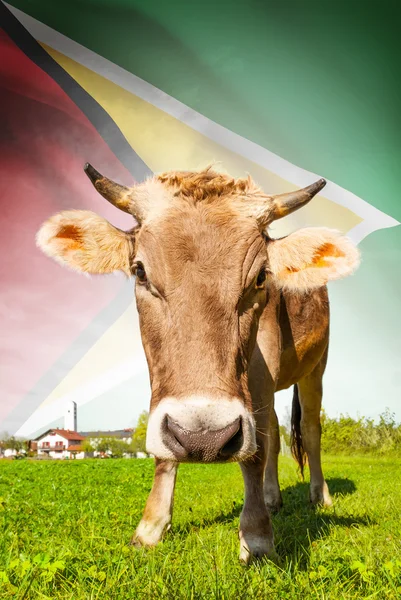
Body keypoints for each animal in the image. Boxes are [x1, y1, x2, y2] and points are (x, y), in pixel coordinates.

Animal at [36, 164, 358, 564]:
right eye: (139, 271)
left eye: (261, 277)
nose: (203, 438)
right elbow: (166, 449)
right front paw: (150, 527)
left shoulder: (263, 364)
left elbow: (255, 452)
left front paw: (257, 535)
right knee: (272, 430)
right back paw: (272, 497)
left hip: (316, 368)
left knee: (310, 431)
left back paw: (319, 496)